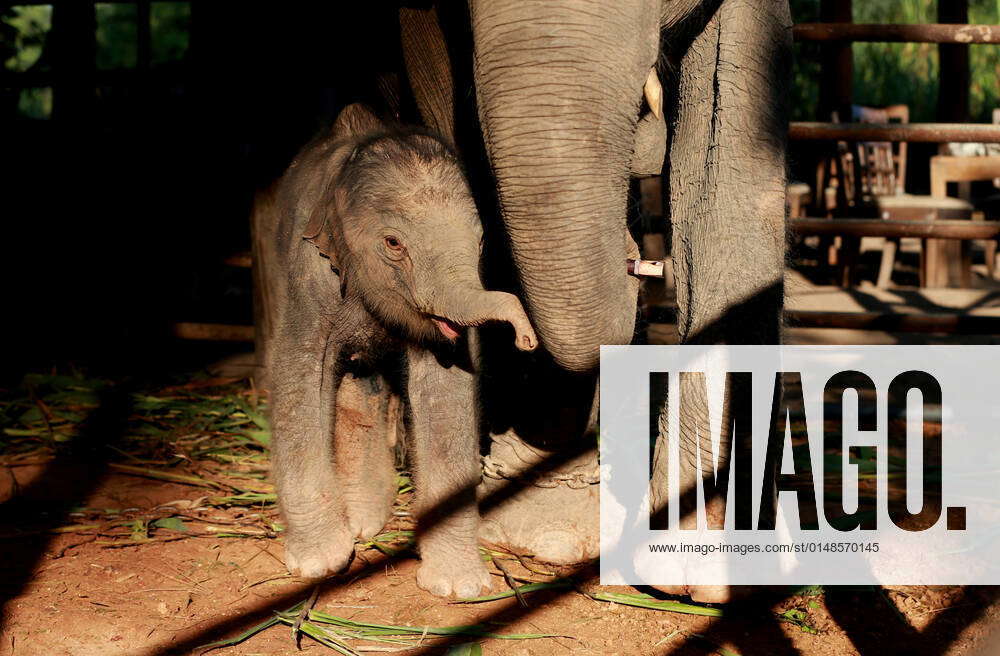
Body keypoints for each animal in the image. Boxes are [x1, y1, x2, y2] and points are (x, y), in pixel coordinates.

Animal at [253, 103, 537, 598]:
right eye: (393, 243)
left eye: (482, 241)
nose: (526, 339)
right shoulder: (309, 272)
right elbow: (297, 373)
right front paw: (320, 563)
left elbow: (445, 389)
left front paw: (459, 588)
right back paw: (358, 527)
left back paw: (365, 520)